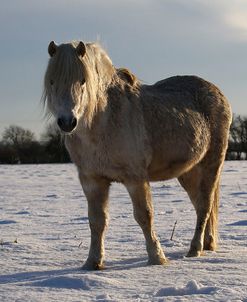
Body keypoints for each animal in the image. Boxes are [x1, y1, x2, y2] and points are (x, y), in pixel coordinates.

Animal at [42, 40, 232, 272]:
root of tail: (218, 93)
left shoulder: (135, 178)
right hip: (189, 172)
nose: (67, 122)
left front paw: (157, 258)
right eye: (52, 81)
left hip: (212, 164)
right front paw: (92, 262)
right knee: (200, 205)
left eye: (82, 80)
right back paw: (207, 244)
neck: (104, 121)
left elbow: (144, 216)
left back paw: (195, 249)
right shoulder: (92, 180)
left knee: (204, 205)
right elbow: (97, 221)